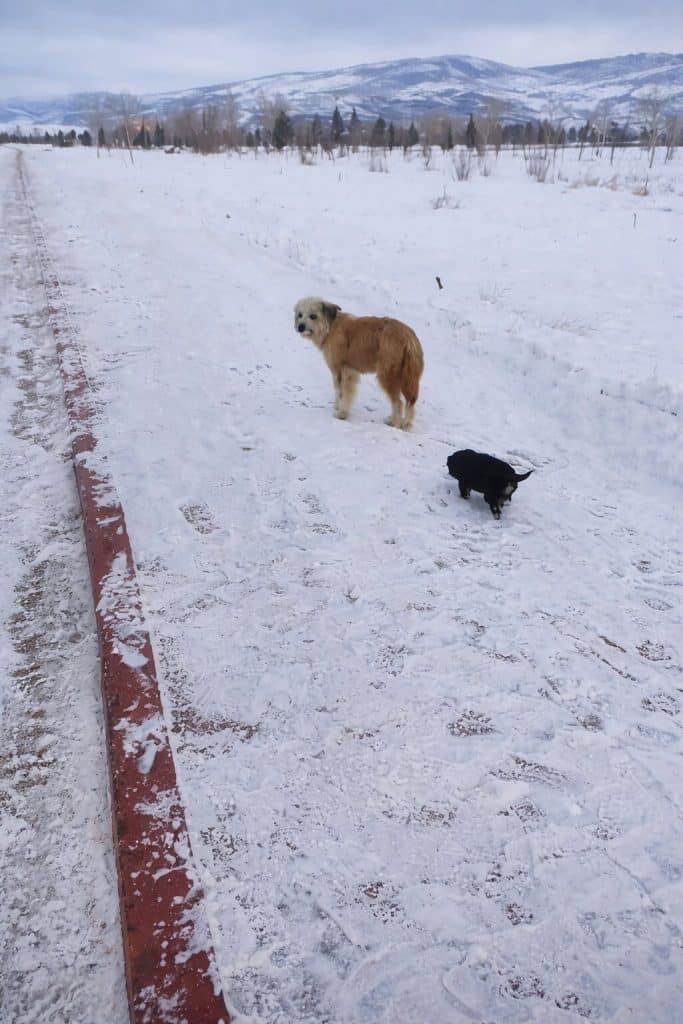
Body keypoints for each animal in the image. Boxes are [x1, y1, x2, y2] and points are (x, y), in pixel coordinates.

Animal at [294, 297, 424, 429]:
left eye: (313, 316)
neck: (331, 326)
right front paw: (338, 407)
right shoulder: (348, 370)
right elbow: (339, 391)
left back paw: (394, 422)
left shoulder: (342, 370)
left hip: (388, 376)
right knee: (410, 402)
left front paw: (341, 413)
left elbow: (342, 392)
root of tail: (409, 338)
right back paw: (406, 423)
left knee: (398, 403)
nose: (300, 327)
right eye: (300, 315)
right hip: (408, 377)